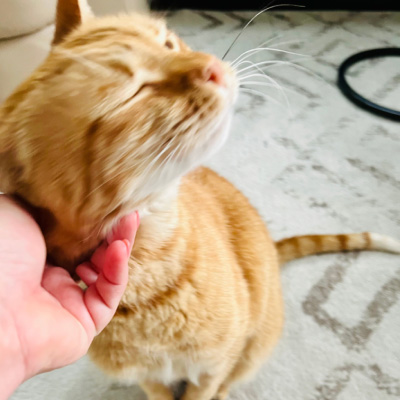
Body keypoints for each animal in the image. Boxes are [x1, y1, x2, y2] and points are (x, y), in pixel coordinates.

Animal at [0, 1, 400, 398]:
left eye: (169, 44)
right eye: (134, 94)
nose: (213, 67)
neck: (148, 290)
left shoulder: (214, 368)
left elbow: (209, 387)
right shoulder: (147, 377)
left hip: (254, 347)